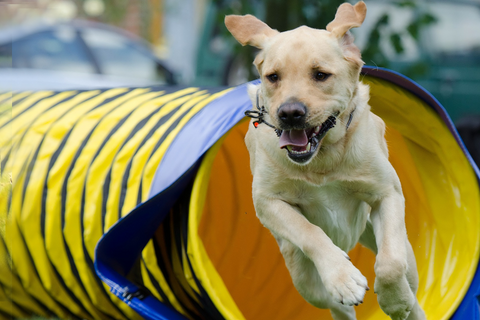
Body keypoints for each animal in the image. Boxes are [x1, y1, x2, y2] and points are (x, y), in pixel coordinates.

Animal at [227, 2, 426, 320]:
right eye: (273, 77)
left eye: (320, 75)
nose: (289, 113)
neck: (322, 159)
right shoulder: (268, 202)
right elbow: (311, 232)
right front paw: (344, 279)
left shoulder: (387, 193)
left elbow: (390, 264)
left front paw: (395, 300)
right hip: (303, 278)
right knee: (335, 304)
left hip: (404, 251)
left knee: (409, 283)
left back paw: (407, 303)